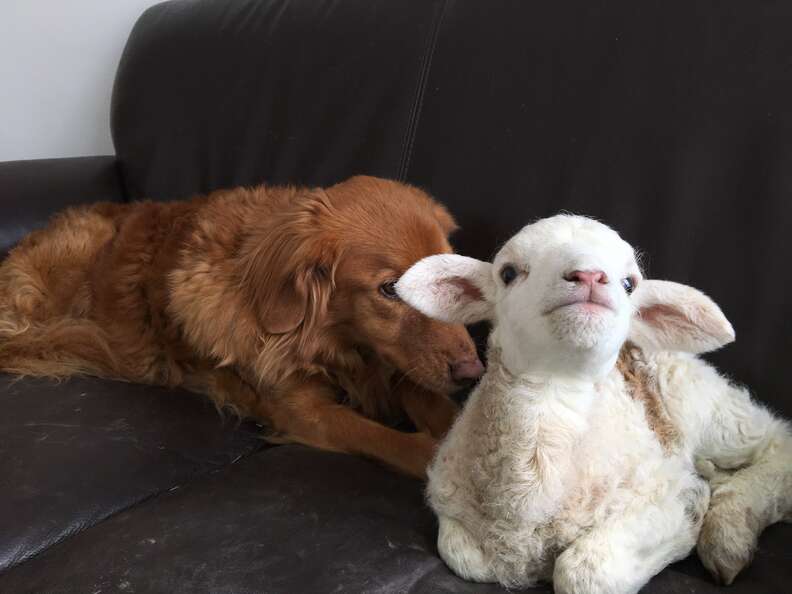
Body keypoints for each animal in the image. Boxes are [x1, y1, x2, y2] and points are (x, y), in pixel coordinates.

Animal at [0, 173, 482, 474]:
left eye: (451, 272)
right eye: (390, 289)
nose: (473, 372)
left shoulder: (392, 362)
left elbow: (431, 399)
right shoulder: (302, 411)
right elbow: (385, 438)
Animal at [396, 214, 792, 592]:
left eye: (629, 283)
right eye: (508, 273)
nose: (589, 275)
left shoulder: (667, 492)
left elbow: (582, 574)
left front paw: (698, 517)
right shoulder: (449, 499)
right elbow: (462, 555)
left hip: (706, 407)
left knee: (775, 444)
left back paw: (729, 533)